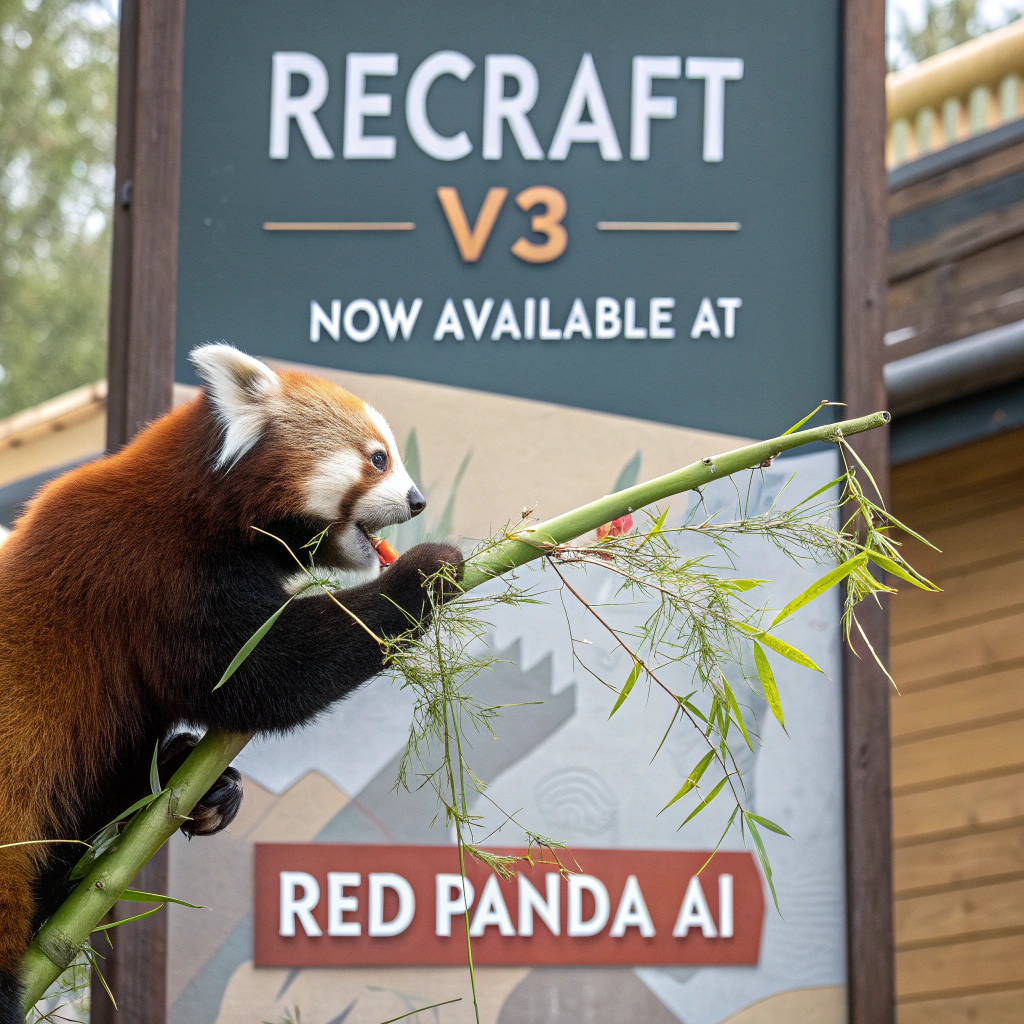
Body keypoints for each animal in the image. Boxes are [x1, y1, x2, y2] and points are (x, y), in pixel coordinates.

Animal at [0, 345, 463, 1021]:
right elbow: (261, 676)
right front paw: (426, 572)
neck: (206, 506)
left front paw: (203, 780)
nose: (421, 500)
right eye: (378, 458)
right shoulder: (156, 571)